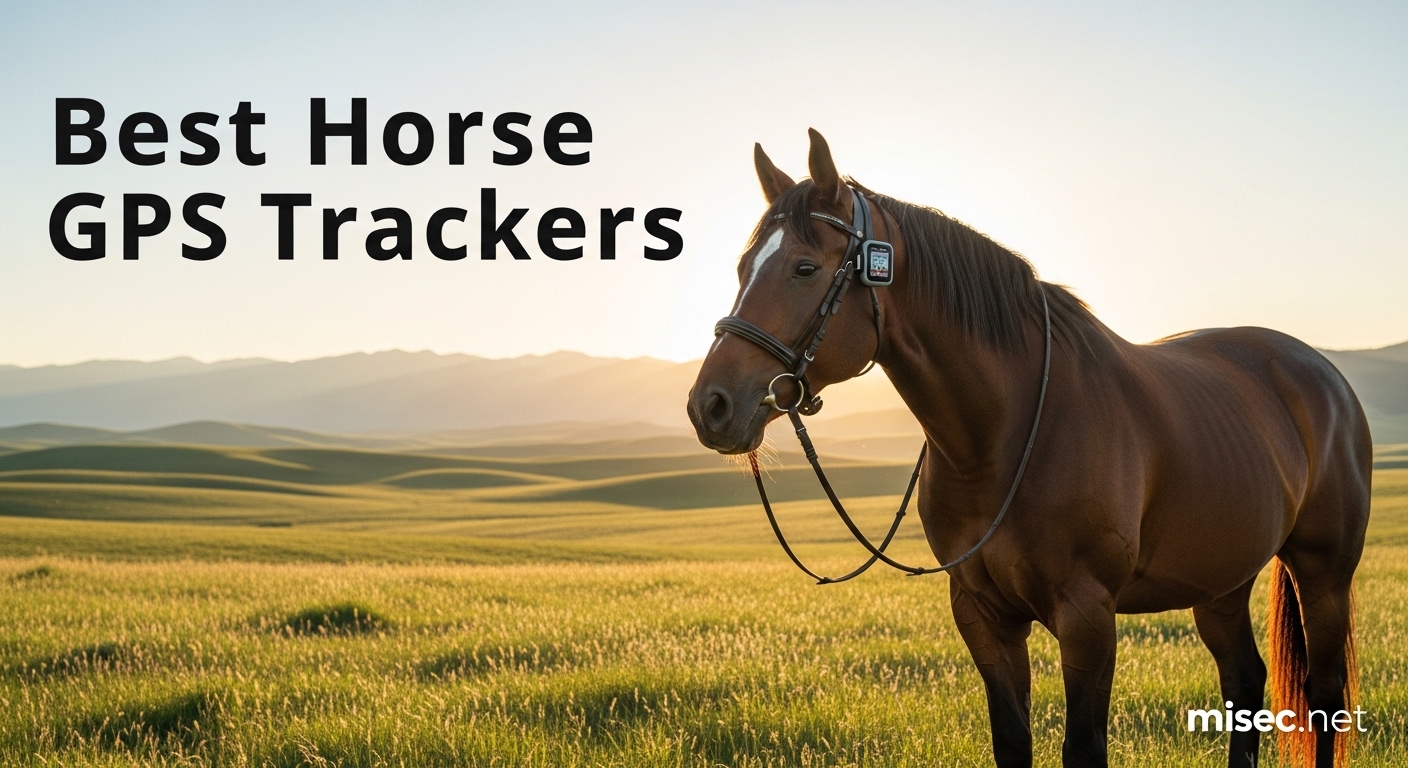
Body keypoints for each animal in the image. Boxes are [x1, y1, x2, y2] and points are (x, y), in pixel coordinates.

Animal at [686, 129, 1370, 768]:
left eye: (804, 268)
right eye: (743, 269)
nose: (709, 406)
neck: (1003, 439)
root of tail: (1321, 373)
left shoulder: (1087, 616)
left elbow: (1083, 747)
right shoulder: (982, 615)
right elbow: (1012, 740)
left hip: (1323, 574)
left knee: (1324, 694)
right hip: (1221, 579)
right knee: (1244, 683)